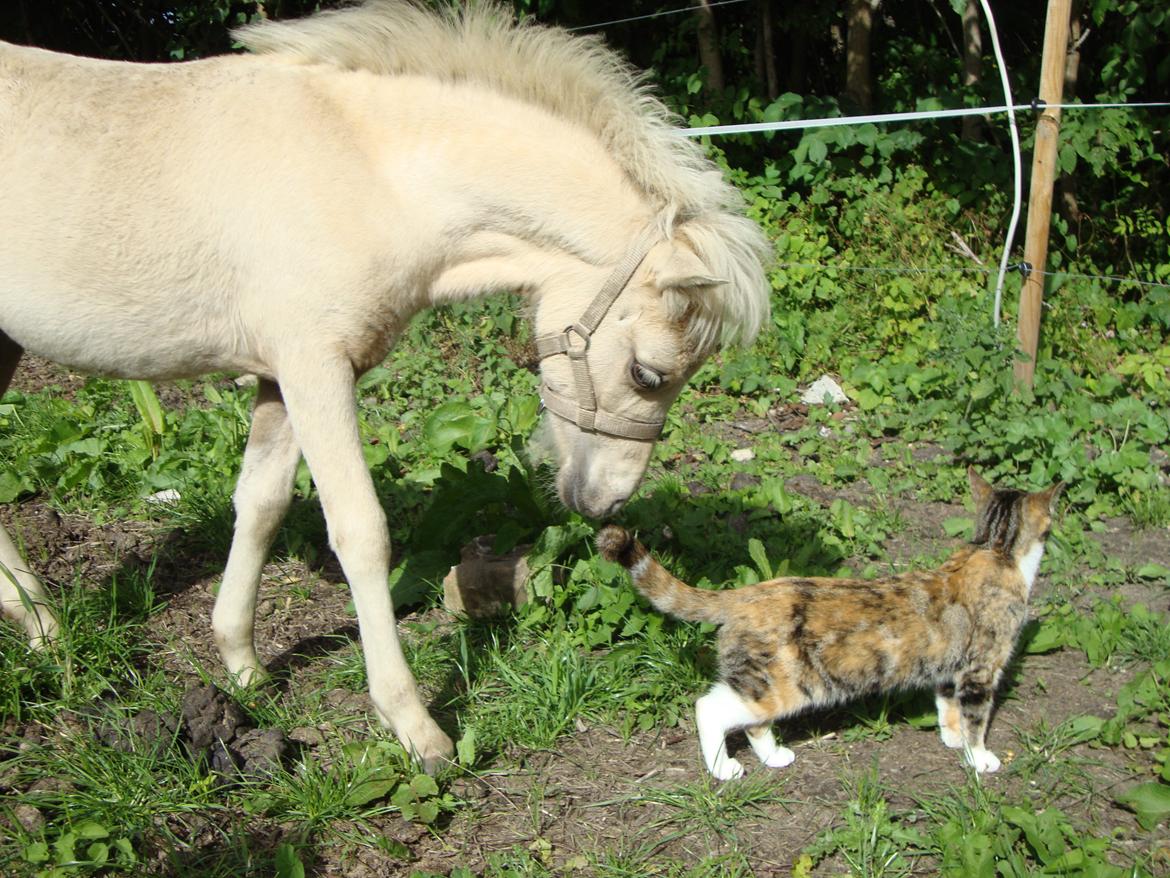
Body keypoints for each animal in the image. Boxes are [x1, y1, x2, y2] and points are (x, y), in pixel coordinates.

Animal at [0, 0, 770, 771]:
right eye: (649, 373)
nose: (605, 503)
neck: (367, 170)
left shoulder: (282, 377)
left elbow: (261, 504)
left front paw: (242, 665)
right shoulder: (314, 369)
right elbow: (361, 532)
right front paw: (415, 726)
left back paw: (42, 628)